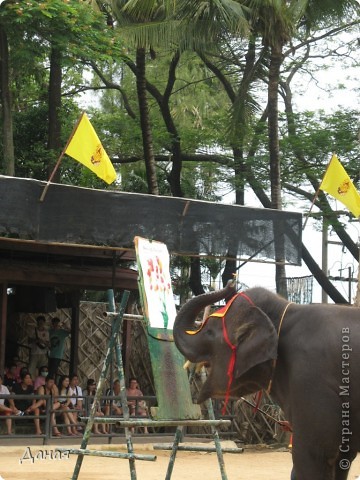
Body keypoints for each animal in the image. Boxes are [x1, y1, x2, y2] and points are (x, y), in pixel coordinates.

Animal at [173, 280, 360, 480]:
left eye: (208, 331)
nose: (231, 283)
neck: (286, 310)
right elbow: (342, 459)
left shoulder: (311, 381)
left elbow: (313, 457)